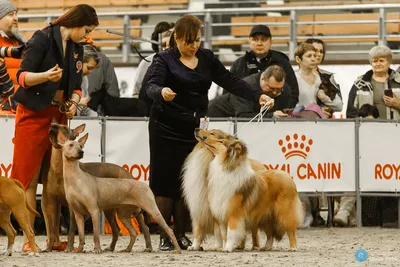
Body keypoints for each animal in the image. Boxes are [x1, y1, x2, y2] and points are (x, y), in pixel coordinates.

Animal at [42, 122, 152, 254]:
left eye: (64, 127)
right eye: (56, 124)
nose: (52, 125)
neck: (60, 169)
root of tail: (126, 172)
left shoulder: (72, 207)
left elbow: (72, 230)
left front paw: (69, 247)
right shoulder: (51, 202)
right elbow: (52, 229)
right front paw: (49, 248)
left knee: (145, 227)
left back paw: (148, 246)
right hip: (109, 210)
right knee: (116, 229)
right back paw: (111, 247)